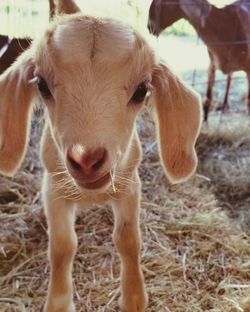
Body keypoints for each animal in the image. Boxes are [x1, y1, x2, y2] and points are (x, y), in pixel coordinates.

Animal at [0, 1, 201, 310]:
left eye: (142, 90)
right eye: (42, 85)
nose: (86, 159)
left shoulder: (130, 184)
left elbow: (128, 239)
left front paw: (134, 297)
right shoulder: (54, 189)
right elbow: (62, 246)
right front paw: (59, 302)